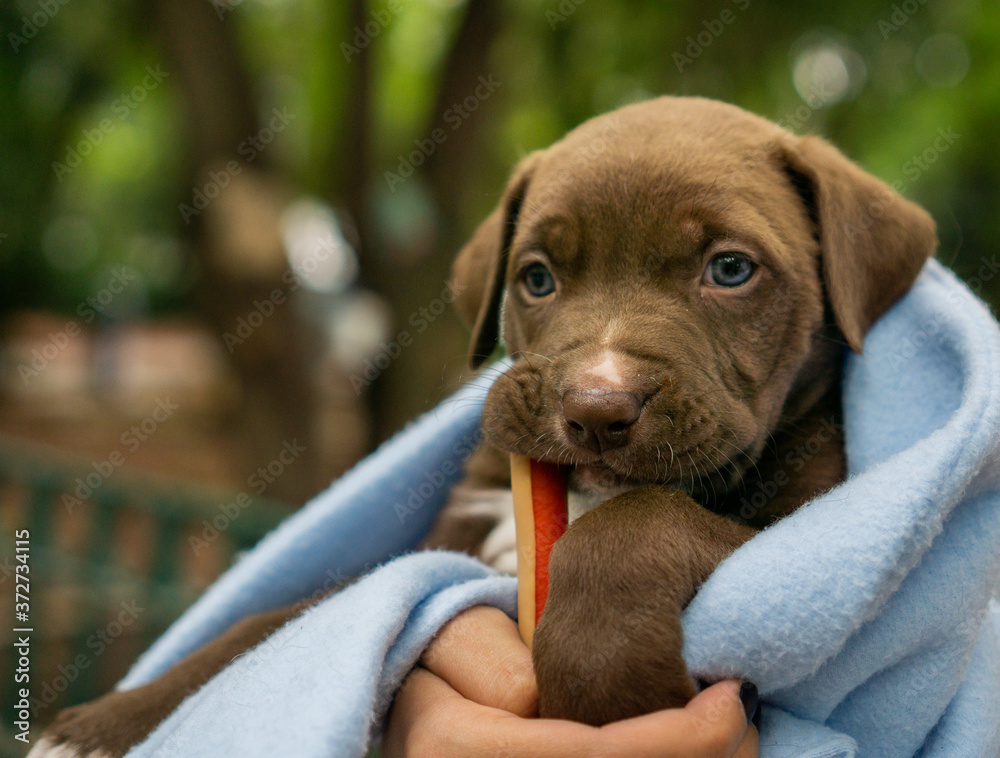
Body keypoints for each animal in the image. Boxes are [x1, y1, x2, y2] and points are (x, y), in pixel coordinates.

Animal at [33, 98, 936, 756]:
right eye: (536, 278)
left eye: (731, 269)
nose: (594, 408)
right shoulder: (448, 547)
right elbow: (293, 613)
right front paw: (108, 725)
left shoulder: (815, 534)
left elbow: (643, 521)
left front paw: (602, 675)